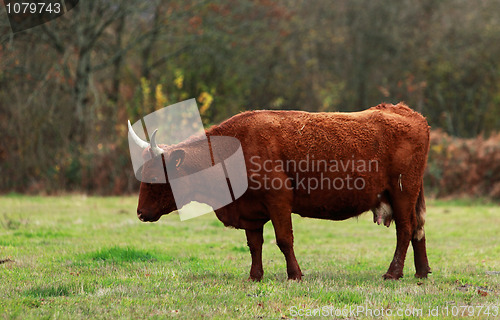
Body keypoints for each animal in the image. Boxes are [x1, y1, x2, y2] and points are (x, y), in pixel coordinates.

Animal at [131, 102, 432, 280]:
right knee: (418, 229)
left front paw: (294, 274)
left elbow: (284, 240)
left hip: (403, 192)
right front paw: (255, 275)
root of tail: (406, 111)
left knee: (405, 230)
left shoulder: (278, 201)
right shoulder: (250, 211)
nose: (141, 213)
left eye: (155, 176)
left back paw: (393, 273)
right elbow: (255, 245)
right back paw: (421, 272)